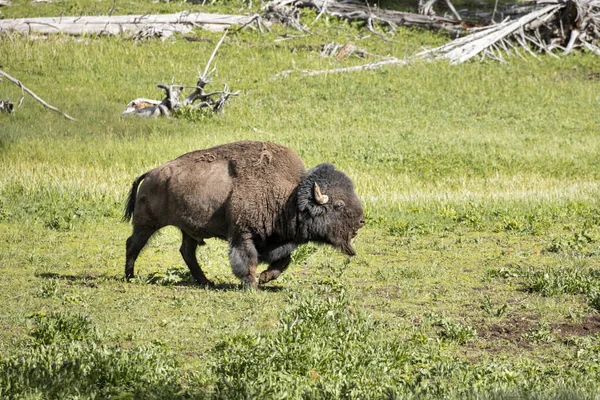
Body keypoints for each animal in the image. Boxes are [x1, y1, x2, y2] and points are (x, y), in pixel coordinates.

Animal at [122, 141, 366, 288]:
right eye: (339, 205)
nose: (362, 221)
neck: (289, 197)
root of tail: (151, 173)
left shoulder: (275, 241)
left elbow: (284, 260)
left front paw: (265, 278)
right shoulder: (243, 234)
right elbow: (247, 260)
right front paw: (252, 285)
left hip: (188, 230)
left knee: (187, 252)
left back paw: (206, 281)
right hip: (146, 224)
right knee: (133, 244)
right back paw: (130, 277)